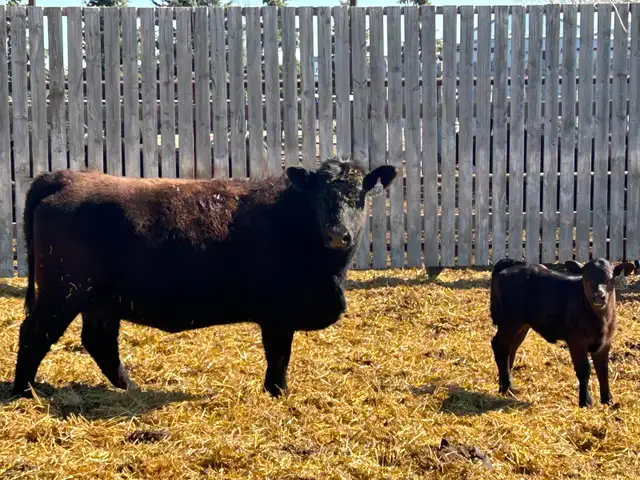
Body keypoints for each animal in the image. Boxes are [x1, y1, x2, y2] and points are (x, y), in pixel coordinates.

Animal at [11, 156, 398, 399]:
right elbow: (279, 355)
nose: (337, 234)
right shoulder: (278, 314)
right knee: (35, 333)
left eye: (359, 196)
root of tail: (65, 177)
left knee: (98, 341)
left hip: (99, 301)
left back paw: (130, 387)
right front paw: (278, 392)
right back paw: (23, 391)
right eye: (319, 195)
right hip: (63, 292)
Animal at [490, 257, 635, 407]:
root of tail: (511, 264)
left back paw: (504, 386)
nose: (599, 296)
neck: (601, 320)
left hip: (522, 326)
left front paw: (607, 400)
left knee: (511, 349)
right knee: (500, 348)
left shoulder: (605, 343)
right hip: (509, 322)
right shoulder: (576, 342)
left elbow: (603, 371)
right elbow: (584, 370)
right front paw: (585, 401)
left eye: (610, 278)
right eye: (586, 278)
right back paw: (507, 387)